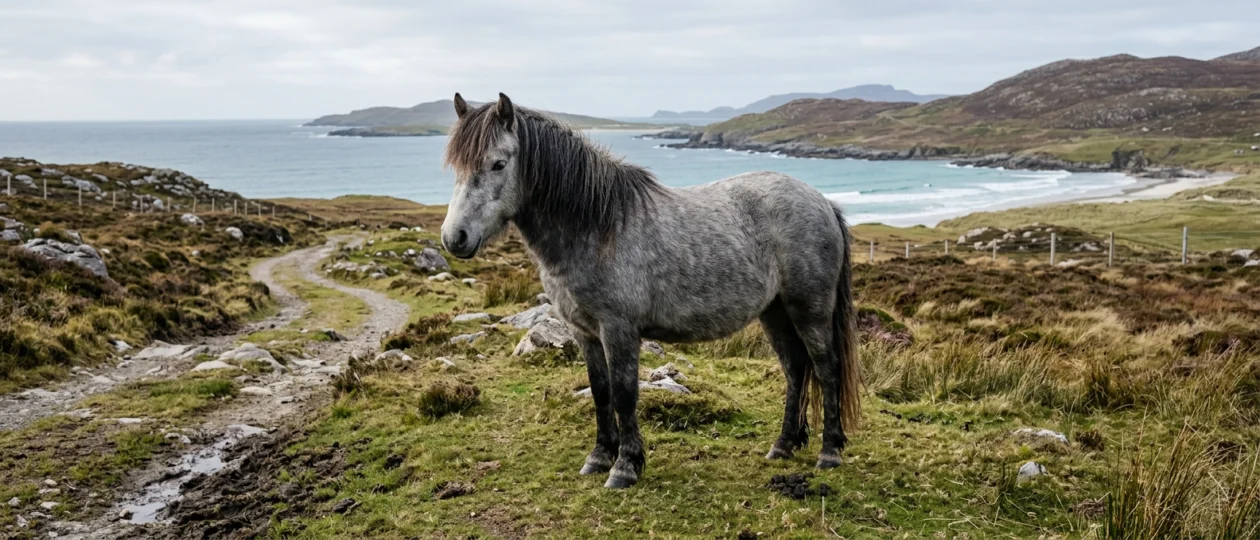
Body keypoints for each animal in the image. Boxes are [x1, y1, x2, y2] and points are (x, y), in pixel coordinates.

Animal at [440, 93, 860, 489]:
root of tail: (822, 201)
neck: (597, 228)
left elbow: (625, 394)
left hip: (809, 308)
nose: (454, 238)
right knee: (796, 368)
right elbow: (600, 392)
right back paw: (783, 445)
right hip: (775, 312)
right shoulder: (585, 332)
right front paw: (598, 458)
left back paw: (829, 452)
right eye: (456, 167)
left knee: (826, 368)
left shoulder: (619, 329)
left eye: (498, 164)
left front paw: (625, 467)